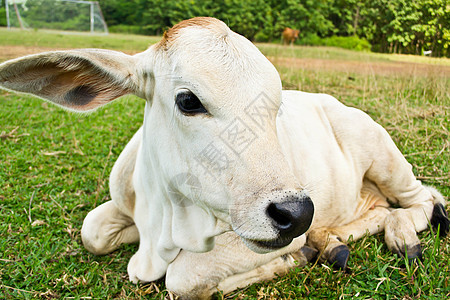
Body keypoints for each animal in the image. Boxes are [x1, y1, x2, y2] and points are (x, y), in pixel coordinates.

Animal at [0, 17, 446, 298]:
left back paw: (400, 237)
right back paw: (332, 242)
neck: (161, 220)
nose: (297, 213)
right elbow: (91, 232)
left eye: (275, 105)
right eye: (188, 100)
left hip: (384, 156)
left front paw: (292, 257)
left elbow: (182, 278)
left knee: (424, 199)